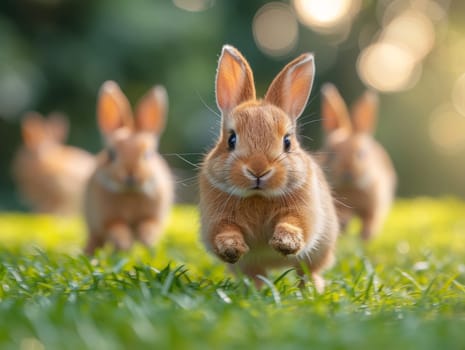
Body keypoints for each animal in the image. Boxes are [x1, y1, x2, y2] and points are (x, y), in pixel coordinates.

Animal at [84, 79, 174, 254]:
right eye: (111, 154)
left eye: (148, 154)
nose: (131, 174)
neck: (130, 192)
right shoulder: (108, 218)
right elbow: (117, 228)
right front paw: (124, 244)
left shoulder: (153, 217)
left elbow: (149, 226)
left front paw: (147, 241)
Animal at [198, 45, 338, 292]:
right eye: (231, 140)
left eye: (287, 142)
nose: (258, 170)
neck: (258, 196)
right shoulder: (216, 219)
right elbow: (225, 231)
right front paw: (232, 247)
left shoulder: (303, 211)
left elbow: (294, 223)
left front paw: (285, 242)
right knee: (256, 275)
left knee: (307, 272)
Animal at [320, 82, 396, 241]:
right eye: (330, 152)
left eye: (361, 154)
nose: (347, 172)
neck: (351, 188)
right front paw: (345, 222)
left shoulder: (374, 204)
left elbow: (370, 219)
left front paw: (366, 236)